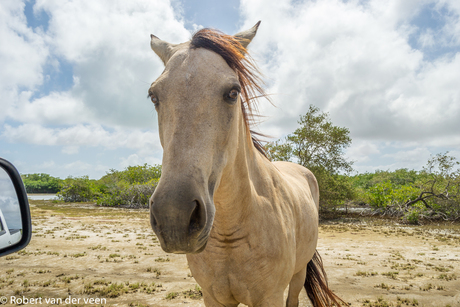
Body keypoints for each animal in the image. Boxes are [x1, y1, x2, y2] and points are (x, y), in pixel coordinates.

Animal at [147, 22, 344, 307]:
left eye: (233, 92)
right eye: (153, 96)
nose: (174, 216)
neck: (231, 234)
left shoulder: (270, 297)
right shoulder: (213, 297)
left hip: (299, 272)